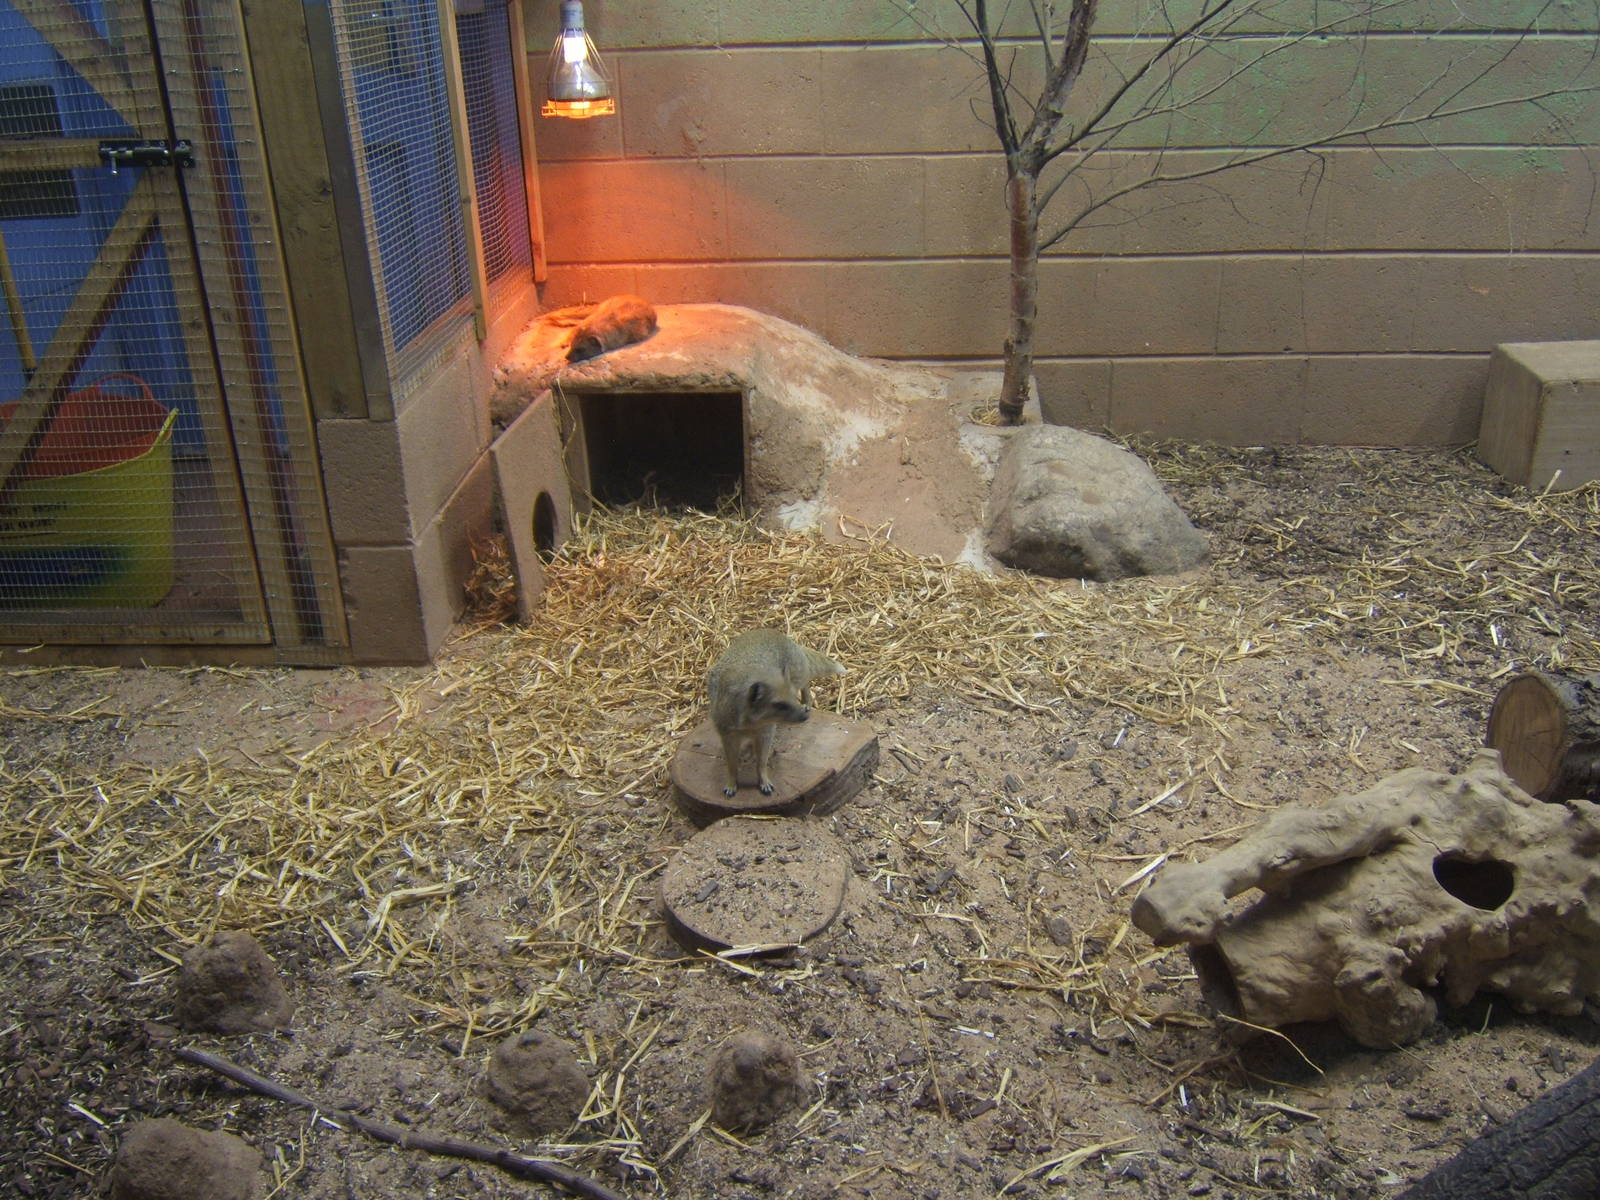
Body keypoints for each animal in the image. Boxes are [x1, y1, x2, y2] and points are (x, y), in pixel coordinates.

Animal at [707, 629, 844, 797]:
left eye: (792, 699)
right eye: (779, 705)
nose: (804, 717)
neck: (749, 725)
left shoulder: (766, 732)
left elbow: (762, 761)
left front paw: (764, 782)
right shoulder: (727, 734)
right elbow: (731, 763)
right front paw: (731, 784)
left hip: (797, 675)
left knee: (805, 682)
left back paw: (806, 702)